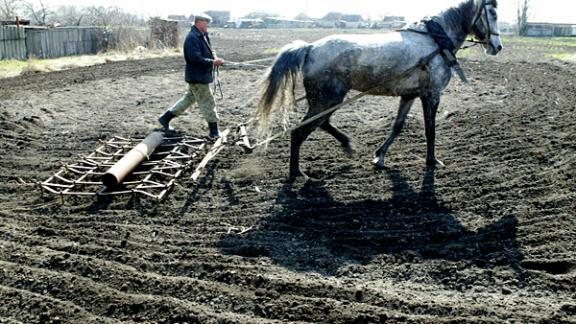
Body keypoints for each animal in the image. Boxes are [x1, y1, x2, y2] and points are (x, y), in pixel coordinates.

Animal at [254, 0, 502, 178]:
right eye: (493, 13)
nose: (498, 47)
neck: (435, 43)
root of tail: (310, 47)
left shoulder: (409, 95)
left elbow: (398, 126)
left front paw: (379, 157)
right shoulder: (432, 95)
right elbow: (430, 130)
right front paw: (432, 161)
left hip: (326, 100)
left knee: (322, 123)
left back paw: (346, 144)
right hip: (326, 100)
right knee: (300, 131)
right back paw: (297, 172)